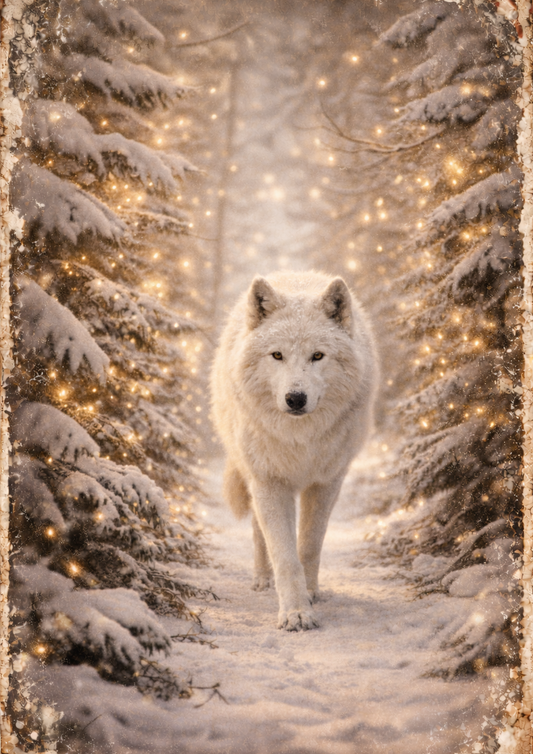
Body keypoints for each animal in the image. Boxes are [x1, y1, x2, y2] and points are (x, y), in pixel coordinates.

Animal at [211, 270, 378, 631]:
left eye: (317, 356)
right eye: (277, 355)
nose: (295, 398)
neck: (300, 438)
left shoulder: (327, 482)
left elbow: (310, 544)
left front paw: (310, 594)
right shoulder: (269, 482)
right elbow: (285, 556)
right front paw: (295, 613)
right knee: (258, 532)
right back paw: (263, 579)